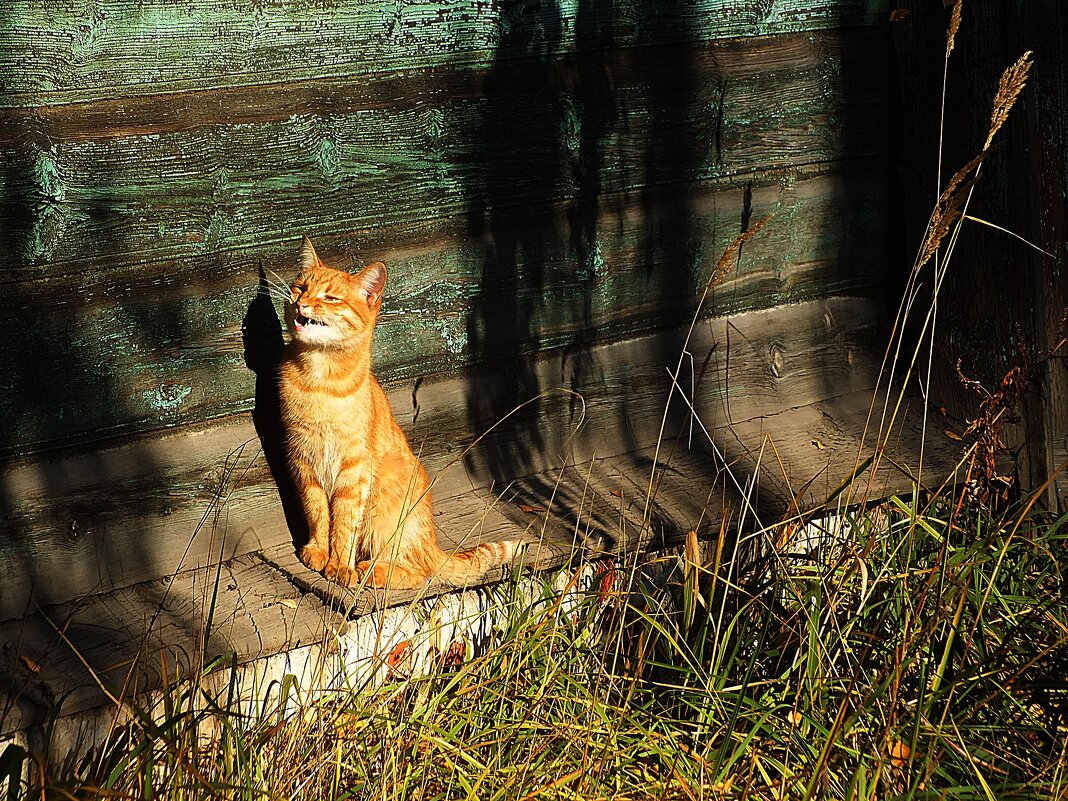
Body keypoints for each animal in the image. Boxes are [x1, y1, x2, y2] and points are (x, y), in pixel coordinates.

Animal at [279, 237, 521, 589]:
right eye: (300, 288)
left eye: (330, 298)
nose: (301, 303)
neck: (319, 378)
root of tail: (433, 543)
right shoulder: (305, 461)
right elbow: (318, 513)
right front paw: (318, 550)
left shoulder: (353, 470)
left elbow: (344, 523)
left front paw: (339, 565)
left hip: (387, 517)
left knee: (417, 572)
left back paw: (369, 570)